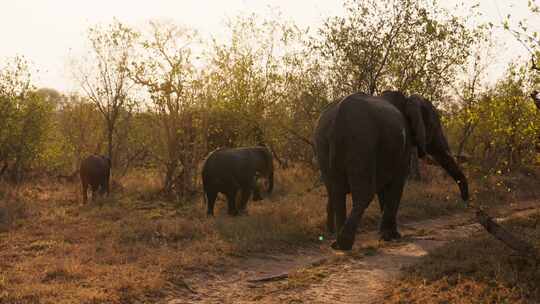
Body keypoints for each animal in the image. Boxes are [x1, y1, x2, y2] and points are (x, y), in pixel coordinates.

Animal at [312, 91, 468, 251]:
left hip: (323, 144)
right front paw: (391, 237)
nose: (465, 202)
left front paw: (387, 235)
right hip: (361, 141)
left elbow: (384, 188)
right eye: (433, 125)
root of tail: (337, 118)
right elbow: (397, 184)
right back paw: (344, 244)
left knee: (336, 193)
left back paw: (336, 244)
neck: (407, 100)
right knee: (363, 194)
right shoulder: (403, 148)